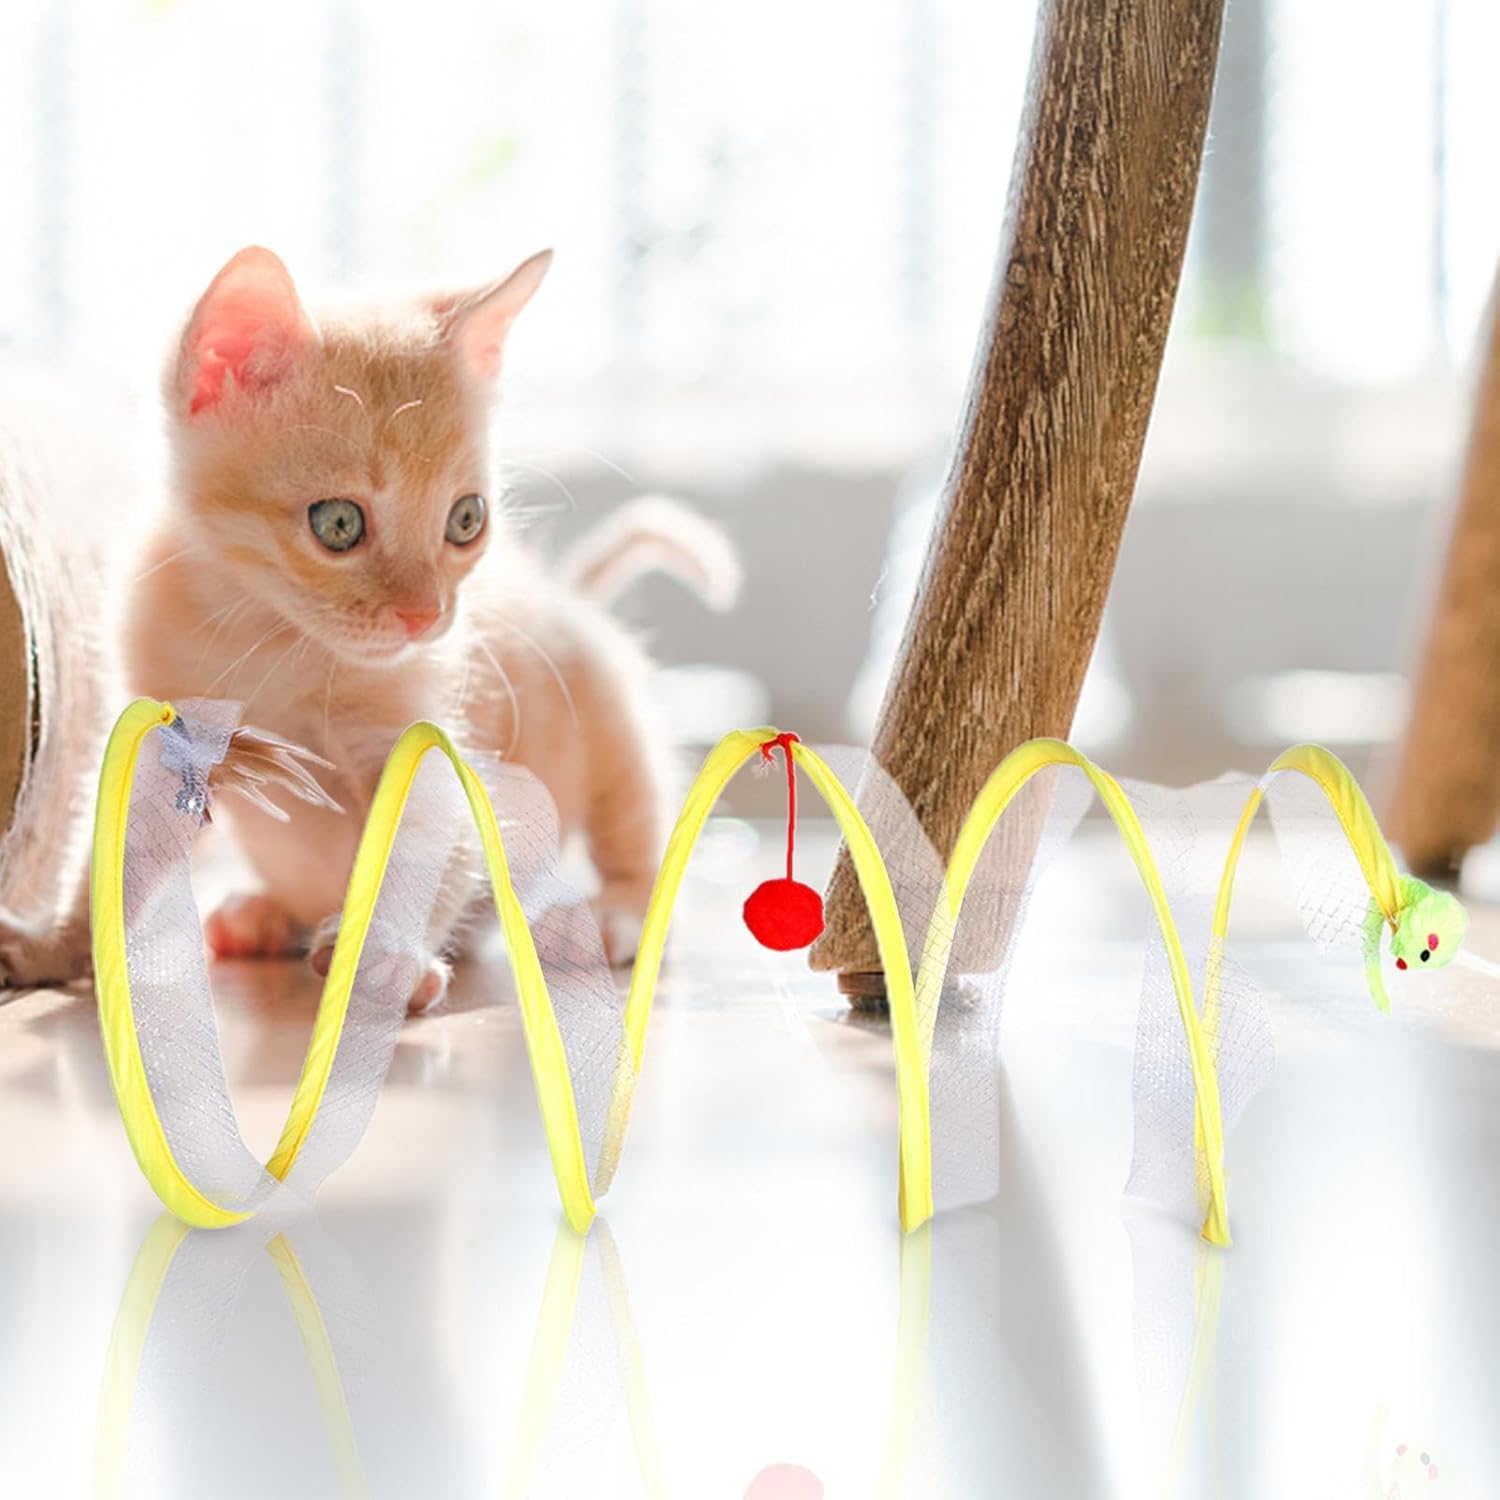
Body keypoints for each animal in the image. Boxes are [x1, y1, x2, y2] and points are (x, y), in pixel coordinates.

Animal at [121, 246, 738, 1008]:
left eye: (466, 520)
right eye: (338, 523)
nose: (426, 616)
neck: (268, 637)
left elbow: (423, 840)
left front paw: (385, 953)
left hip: (604, 704)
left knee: (635, 820)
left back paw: (611, 917)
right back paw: (262, 915)